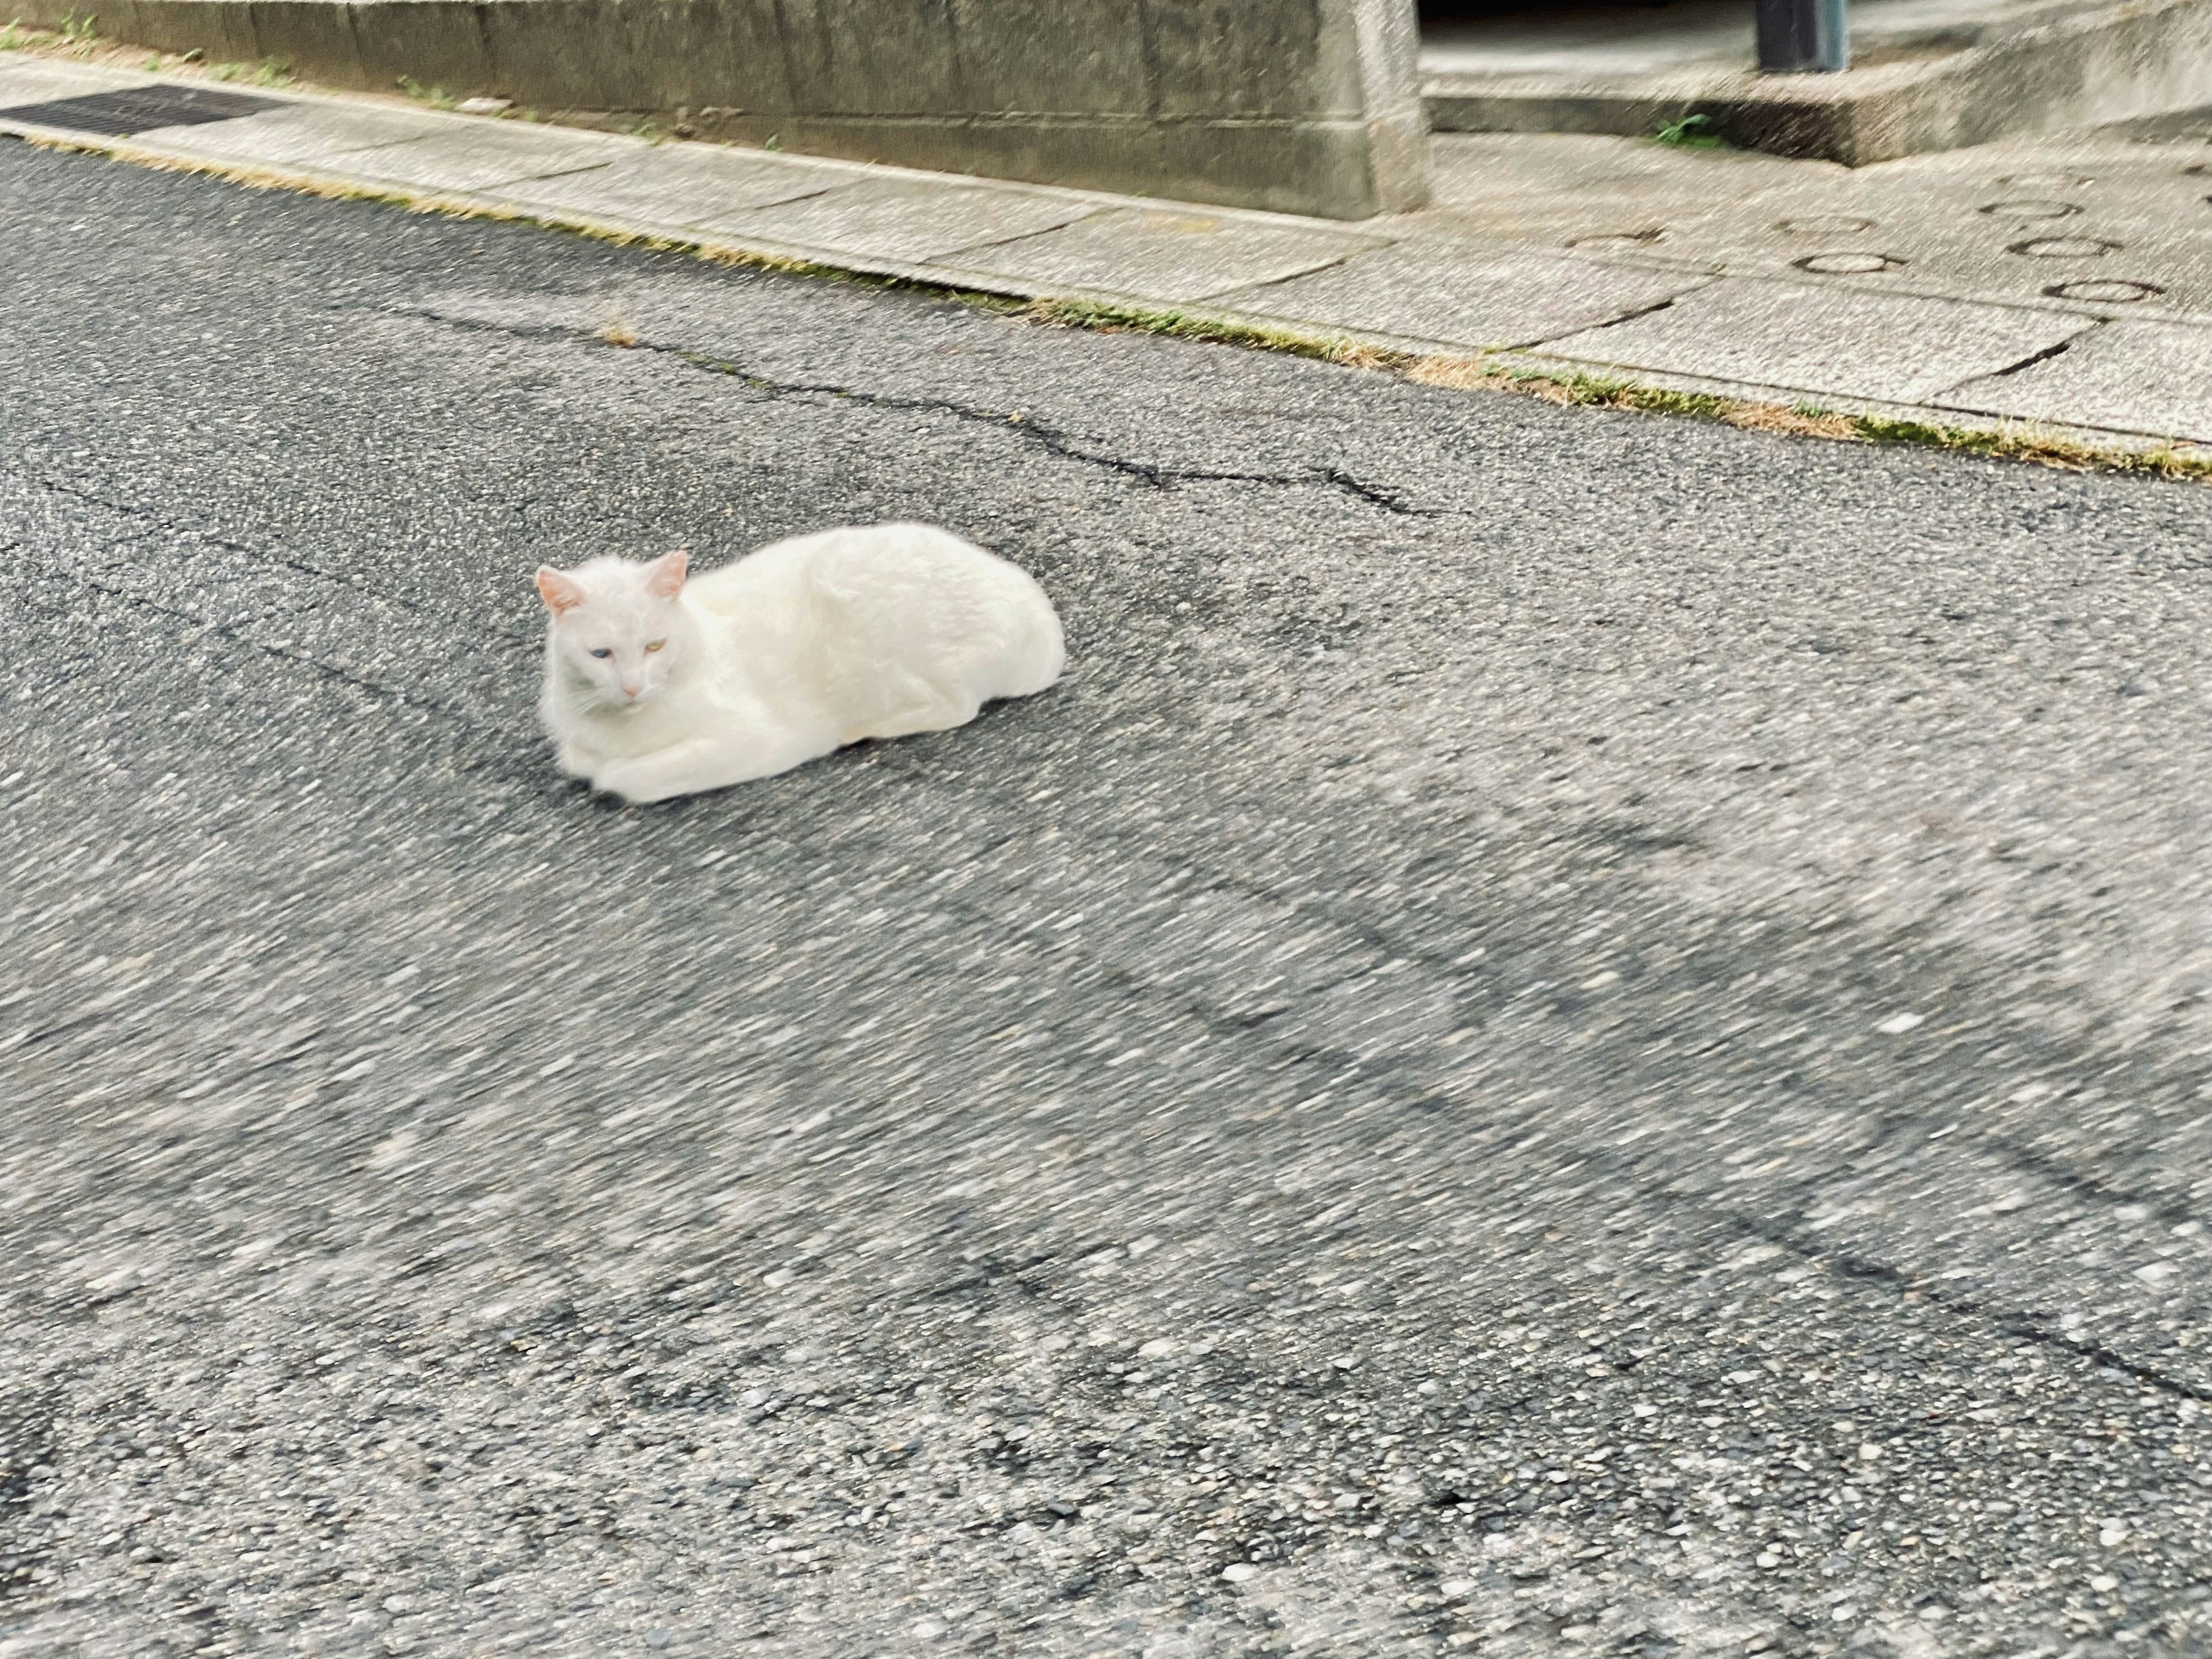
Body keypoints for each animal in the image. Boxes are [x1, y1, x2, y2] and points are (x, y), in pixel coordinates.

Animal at [531, 520, 1057, 805]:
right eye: (601, 654)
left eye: (655, 647)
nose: (633, 687)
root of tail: (1039, 608)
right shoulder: (576, 744)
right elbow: (583, 761)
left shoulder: (755, 739)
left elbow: (627, 777)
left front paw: (618, 774)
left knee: (958, 705)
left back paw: (861, 730)